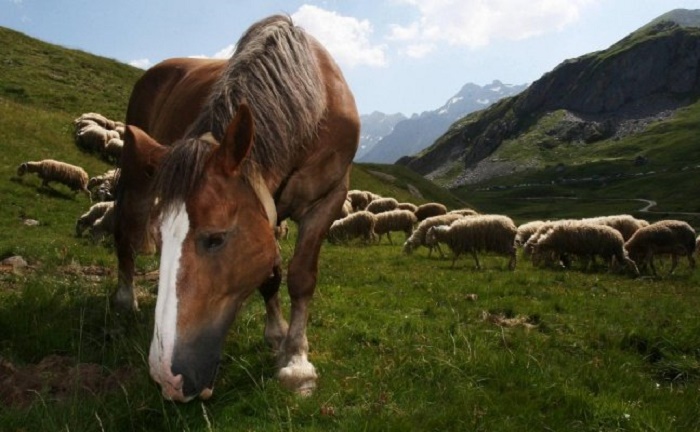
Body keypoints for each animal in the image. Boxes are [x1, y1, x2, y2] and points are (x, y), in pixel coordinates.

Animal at [113, 16, 360, 402]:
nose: (168, 379)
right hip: (139, 171)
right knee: (126, 225)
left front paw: (294, 358)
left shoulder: (327, 200)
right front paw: (282, 341)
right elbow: (270, 275)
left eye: (215, 239)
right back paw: (125, 297)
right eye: (162, 240)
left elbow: (298, 276)